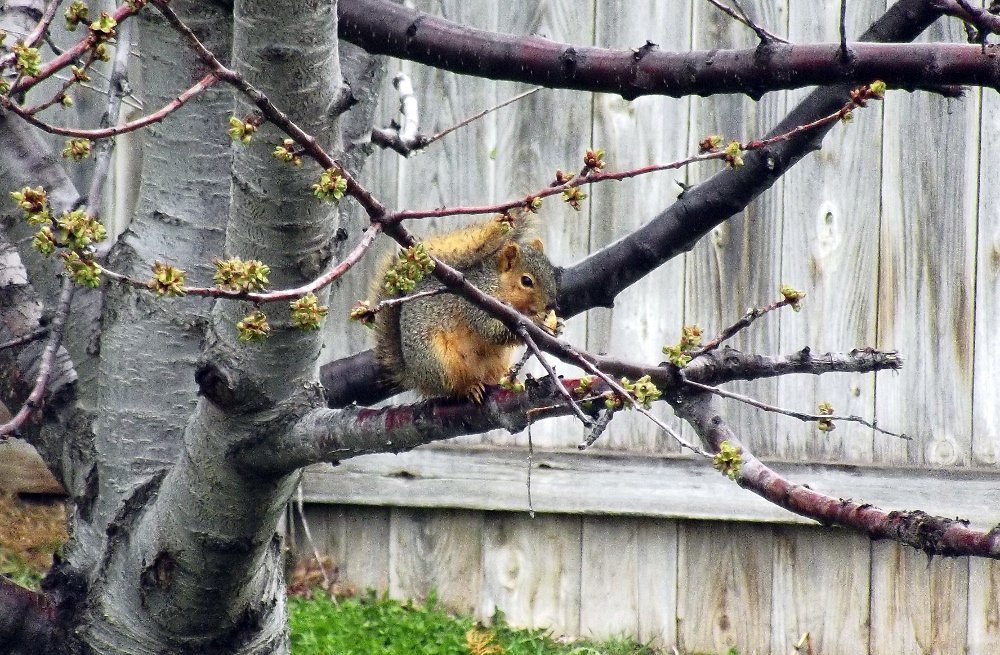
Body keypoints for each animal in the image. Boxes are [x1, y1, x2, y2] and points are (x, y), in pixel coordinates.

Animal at [376, 215, 560, 402]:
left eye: (551, 273)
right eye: (526, 281)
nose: (551, 304)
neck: (496, 282)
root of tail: (412, 375)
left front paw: (556, 325)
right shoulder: (476, 306)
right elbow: (491, 329)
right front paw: (537, 322)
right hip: (439, 363)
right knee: (453, 387)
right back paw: (470, 388)